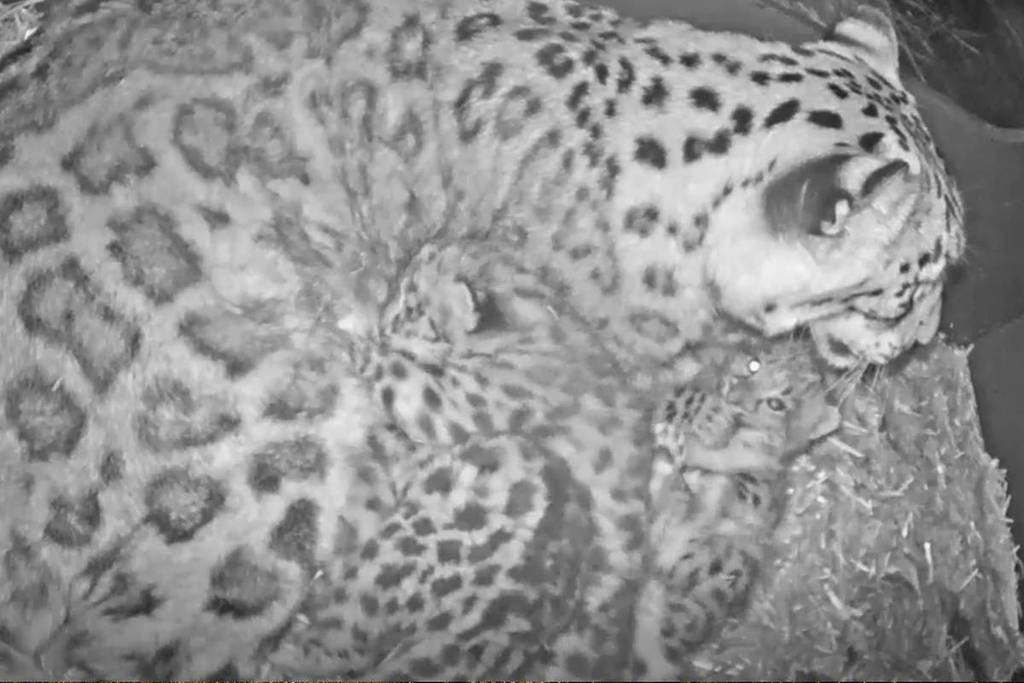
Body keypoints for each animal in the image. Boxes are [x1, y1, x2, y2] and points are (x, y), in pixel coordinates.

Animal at [634, 336, 842, 677]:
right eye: (754, 364)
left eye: (777, 404)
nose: (732, 394)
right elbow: (675, 392)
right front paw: (705, 418)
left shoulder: (755, 486)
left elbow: (741, 480)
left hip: (723, 569)